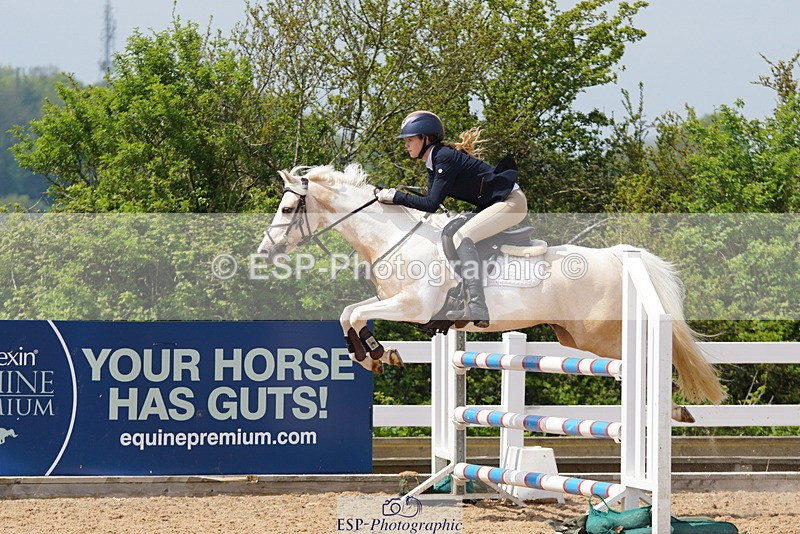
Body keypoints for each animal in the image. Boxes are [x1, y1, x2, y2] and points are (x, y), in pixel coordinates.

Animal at [257, 164, 725, 422]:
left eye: (286, 208)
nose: (265, 251)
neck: (393, 237)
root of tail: (617, 258)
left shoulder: (413, 306)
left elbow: (353, 313)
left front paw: (374, 354)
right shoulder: (399, 304)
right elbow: (350, 313)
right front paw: (376, 354)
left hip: (602, 336)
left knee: (648, 360)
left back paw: (671, 409)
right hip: (575, 338)